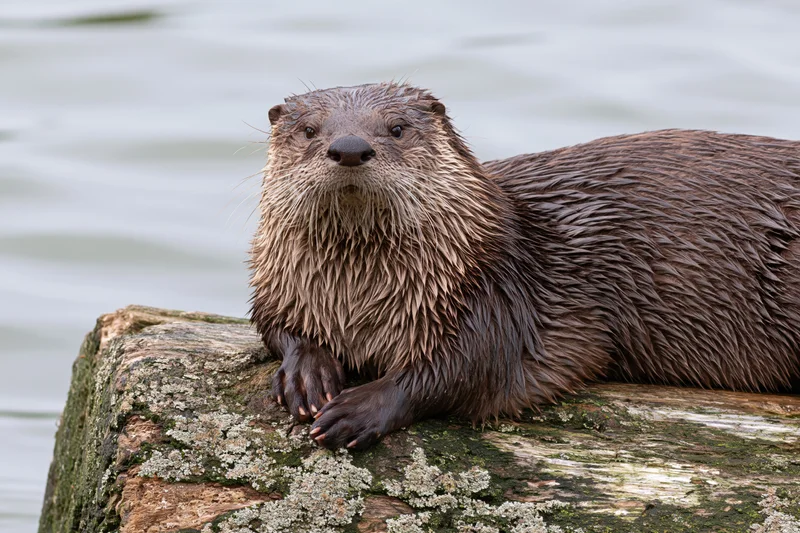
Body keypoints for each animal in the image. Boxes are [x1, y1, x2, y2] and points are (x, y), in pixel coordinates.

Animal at [250, 82, 800, 450]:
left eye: (397, 129)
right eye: (309, 130)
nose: (348, 147)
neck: (358, 298)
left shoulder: (495, 297)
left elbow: (463, 370)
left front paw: (360, 409)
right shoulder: (279, 278)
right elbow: (272, 323)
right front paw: (307, 372)